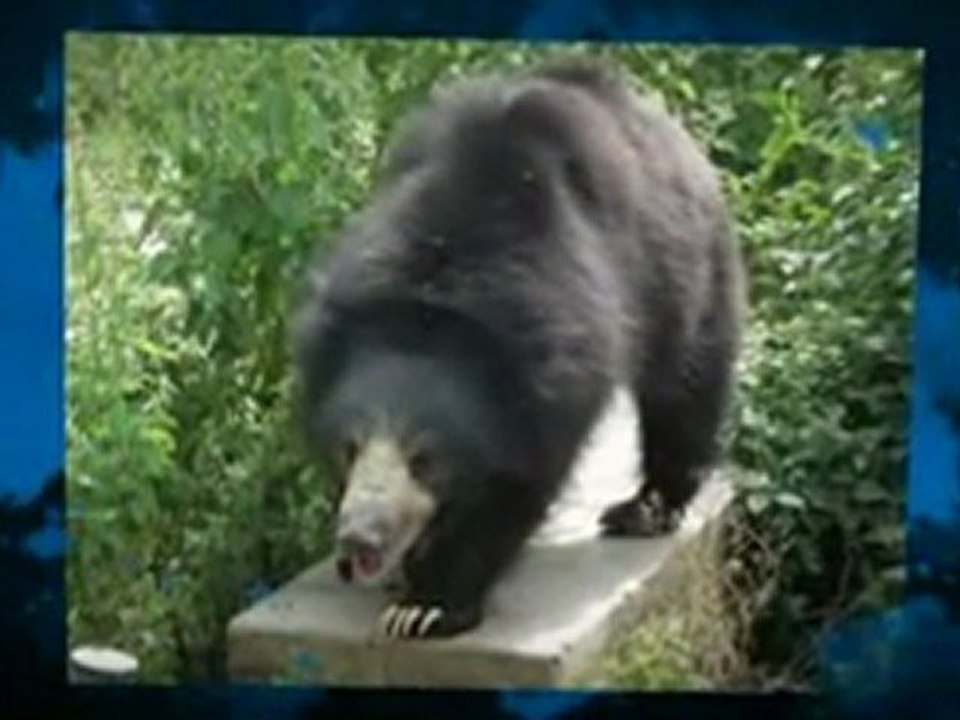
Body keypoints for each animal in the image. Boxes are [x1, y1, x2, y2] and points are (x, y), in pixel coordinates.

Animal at [292, 58, 746, 640]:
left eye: (424, 459)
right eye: (349, 448)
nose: (359, 540)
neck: (434, 295)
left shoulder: (550, 366)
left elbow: (515, 484)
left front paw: (427, 605)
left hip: (685, 271)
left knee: (684, 384)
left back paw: (645, 508)